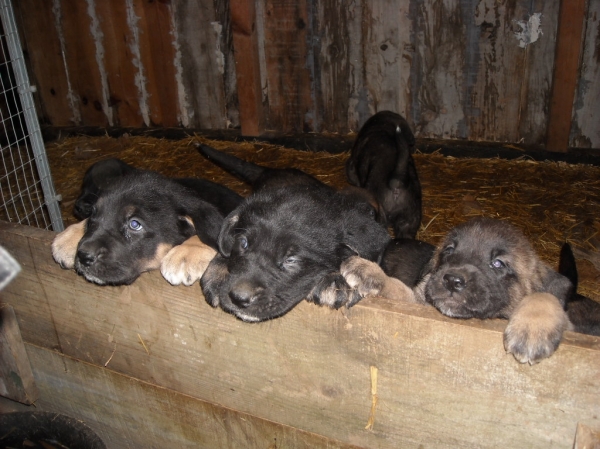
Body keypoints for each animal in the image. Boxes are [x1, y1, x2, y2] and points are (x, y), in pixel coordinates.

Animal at [338, 217, 580, 364]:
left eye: (498, 263)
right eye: (449, 250)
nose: (452, 281)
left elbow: (544, 295)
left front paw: (532, 330)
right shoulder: (419, 301)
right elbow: (397, 288)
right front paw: (369, 271)